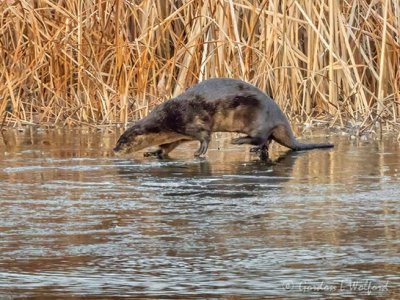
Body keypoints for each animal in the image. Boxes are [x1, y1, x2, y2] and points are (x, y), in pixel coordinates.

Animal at [114, 78, 332, 159]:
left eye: (123, 141)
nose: (114, 150)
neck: (166, 121)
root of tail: (279, 115)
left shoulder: (190, 121)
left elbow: (205, 136)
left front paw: (199, 152)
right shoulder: (177, 135)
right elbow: (167, 147)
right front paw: (153, 152)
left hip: (258, 118)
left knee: (261, 136)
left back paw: (239, 141)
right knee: (267, 140)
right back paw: (256, 150)